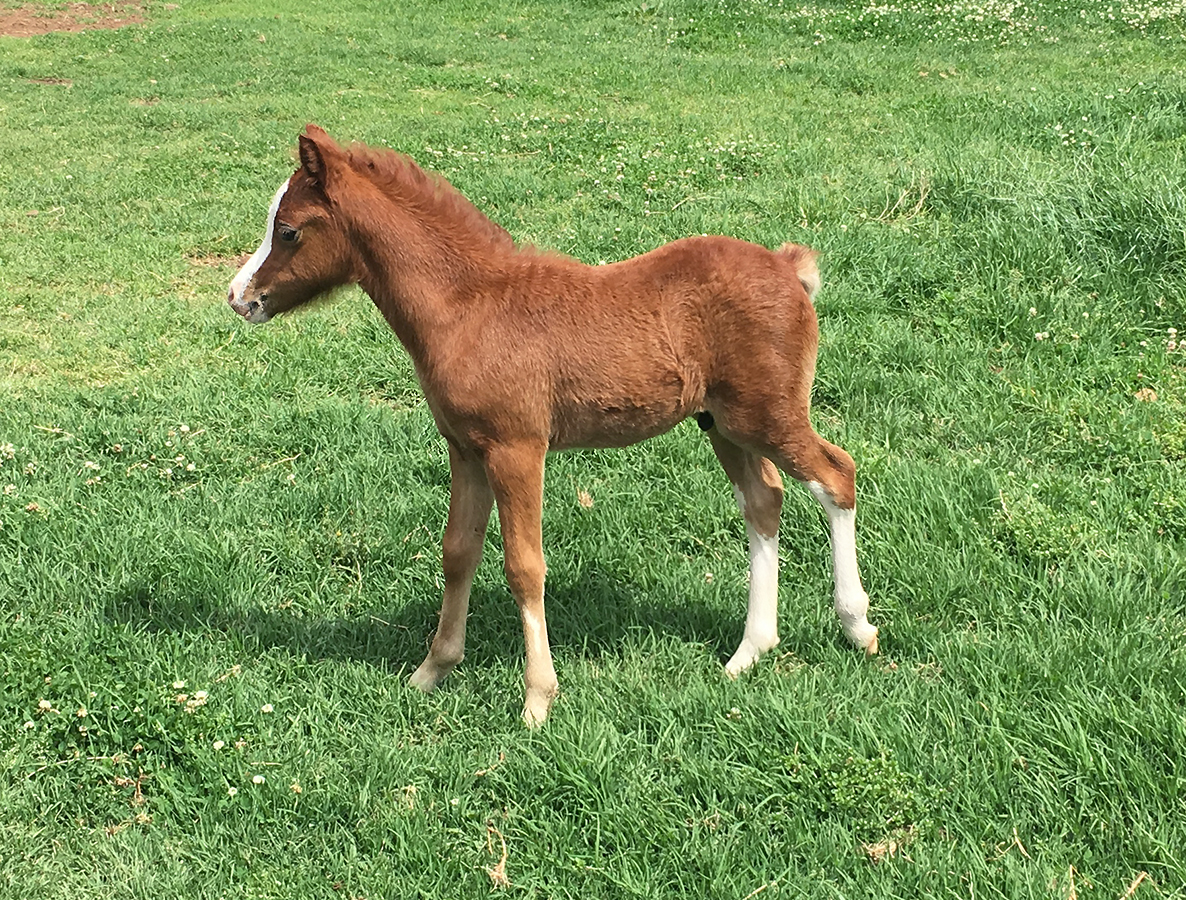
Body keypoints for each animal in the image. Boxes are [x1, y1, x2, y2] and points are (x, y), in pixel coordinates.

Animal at [227, 124, 879, 726]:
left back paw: (857, 626)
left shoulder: (517, 448)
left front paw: (537, 699)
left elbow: (524, 566)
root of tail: (788, 269)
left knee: (836, 475)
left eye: (288, 230)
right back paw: (748, 652)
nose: (238, 297)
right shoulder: (465, 448)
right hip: (723, 423)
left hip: (767, 415)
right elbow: (458, 551)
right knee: (764, 500)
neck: (468, 305)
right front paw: (431, 671)